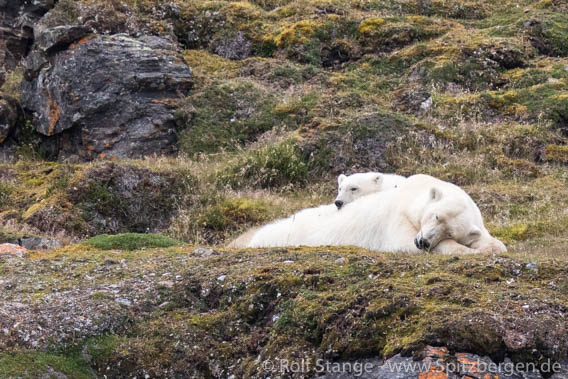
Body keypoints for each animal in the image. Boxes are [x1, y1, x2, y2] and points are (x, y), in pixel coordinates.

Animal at [244, 175, 506, 255]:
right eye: (436, 217)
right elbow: (401, 241)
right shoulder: (396, 218)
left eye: (450, 231)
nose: (423, 241)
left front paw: (490, 246)